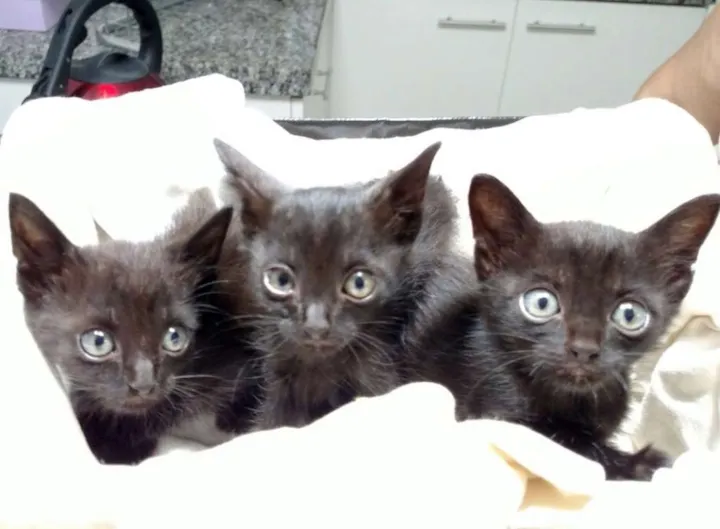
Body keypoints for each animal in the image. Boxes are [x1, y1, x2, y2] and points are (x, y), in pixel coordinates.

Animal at [422, 174, 720, 481]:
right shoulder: (488, 411)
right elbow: (573, 446)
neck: (575, 401)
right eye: (542, 303)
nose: (584, 349)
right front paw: (644, 463)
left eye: (629, 314)